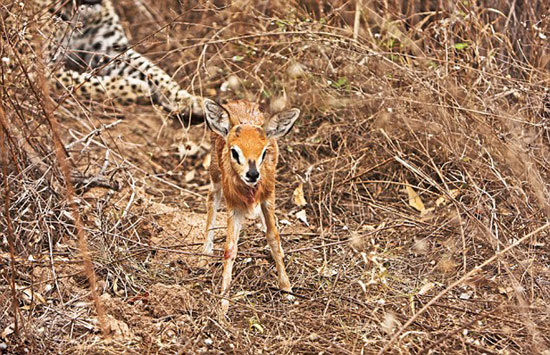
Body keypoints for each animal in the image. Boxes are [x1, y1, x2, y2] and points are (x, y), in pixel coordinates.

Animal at [2, 0, 205, 124]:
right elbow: (83, 83)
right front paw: (137, 90)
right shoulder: (31, 66)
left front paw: (189, 100)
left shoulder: (112, 50)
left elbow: (153, 71)